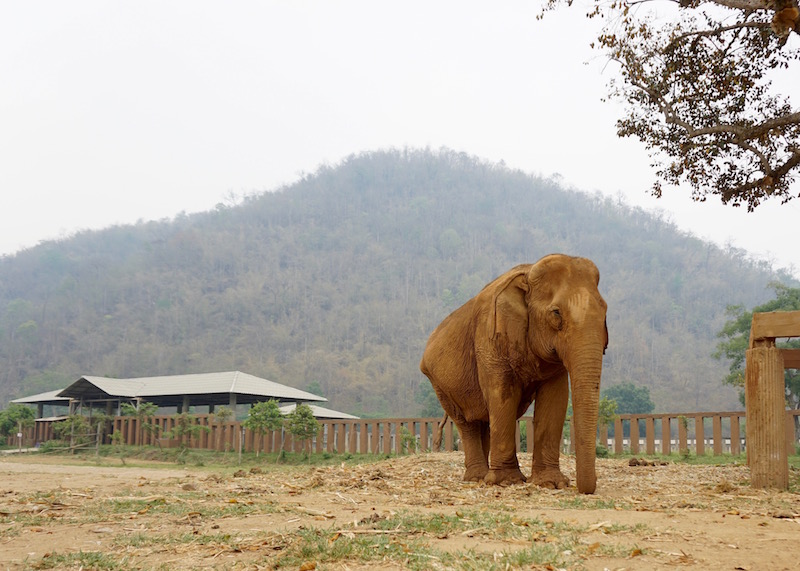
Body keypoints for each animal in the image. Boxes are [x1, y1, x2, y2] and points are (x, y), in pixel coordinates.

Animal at [418, 256, 608, 496]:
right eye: (556, 313)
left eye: (605, 310)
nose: (585, 488)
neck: (528, 274)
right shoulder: (490, 339)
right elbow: (502, 395)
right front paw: (507, 481)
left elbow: (555, 399)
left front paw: (551, 483)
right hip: (440, 385)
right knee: (467, 423)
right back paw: (477, 477)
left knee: (484, 421)